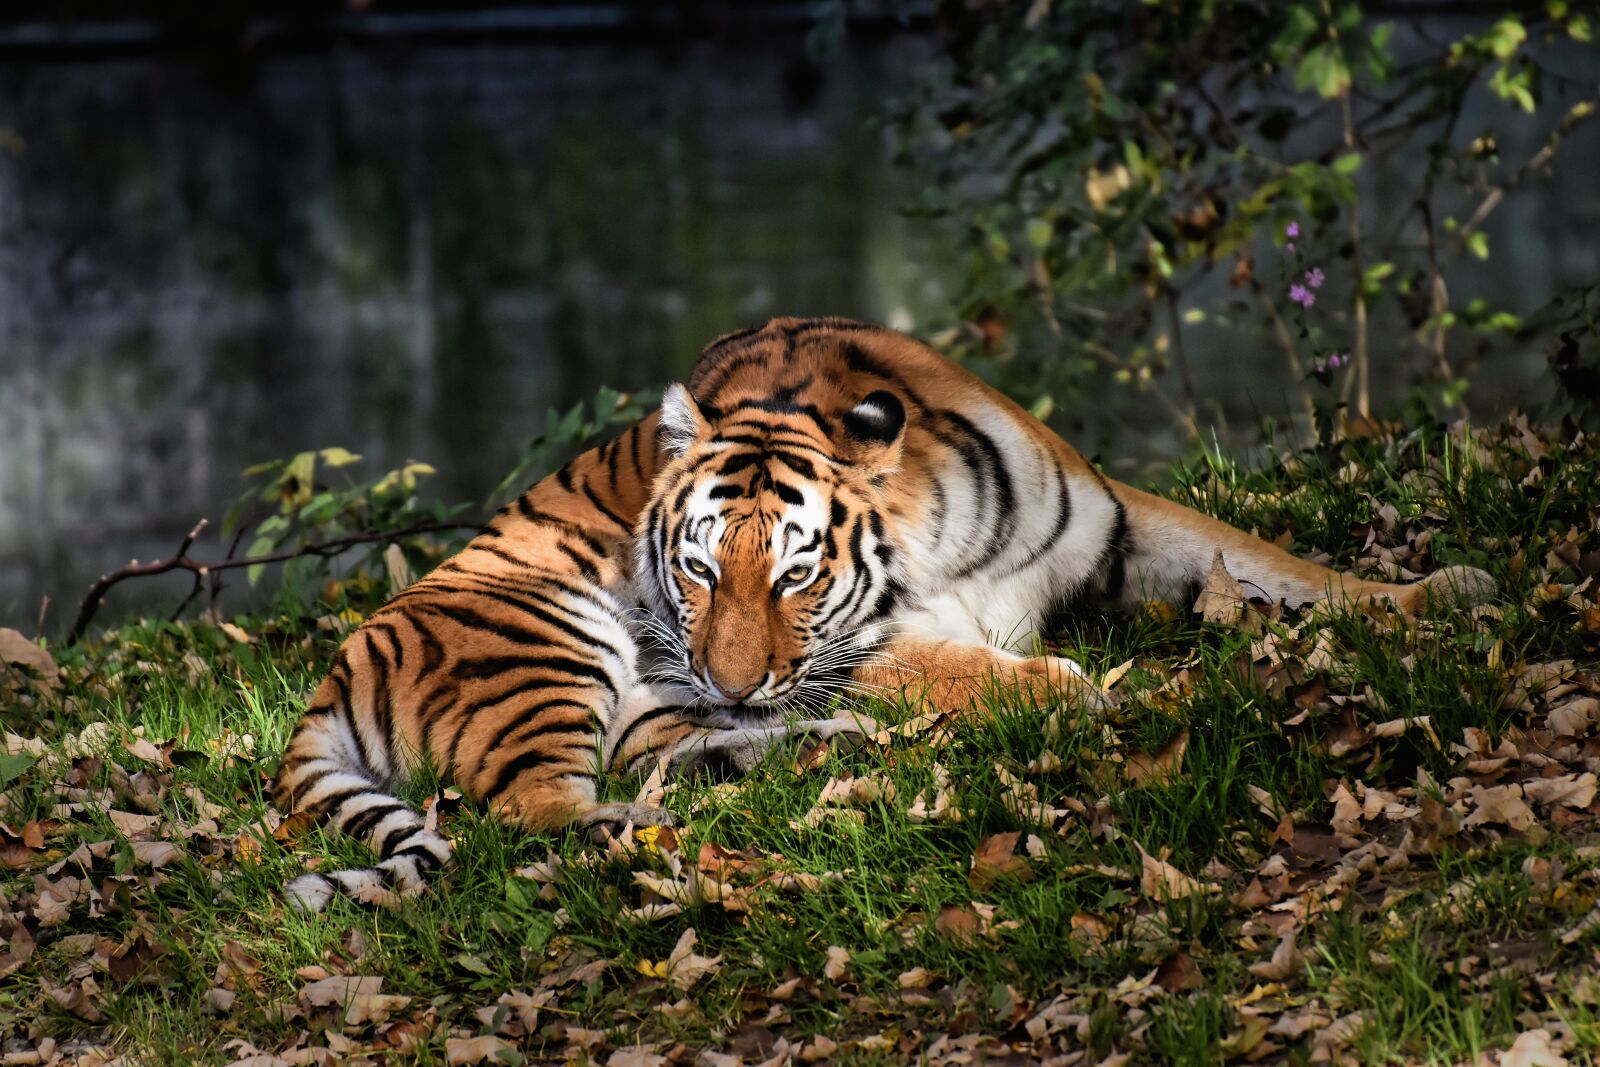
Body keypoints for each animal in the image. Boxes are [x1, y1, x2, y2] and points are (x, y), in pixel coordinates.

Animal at [273, 317, 1492, 910]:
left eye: (794, 575)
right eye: (699, 571)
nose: (725, 678)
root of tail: (330, 676)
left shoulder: (1119, 529)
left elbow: (1272, 559)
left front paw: (1437, 592)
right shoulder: (868, 644)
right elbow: (965, 666)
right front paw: (1075, 693)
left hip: (645, 702)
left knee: (669, 757)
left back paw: (803, 756)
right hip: (550, 635)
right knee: (530, 812)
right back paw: (652, 825)